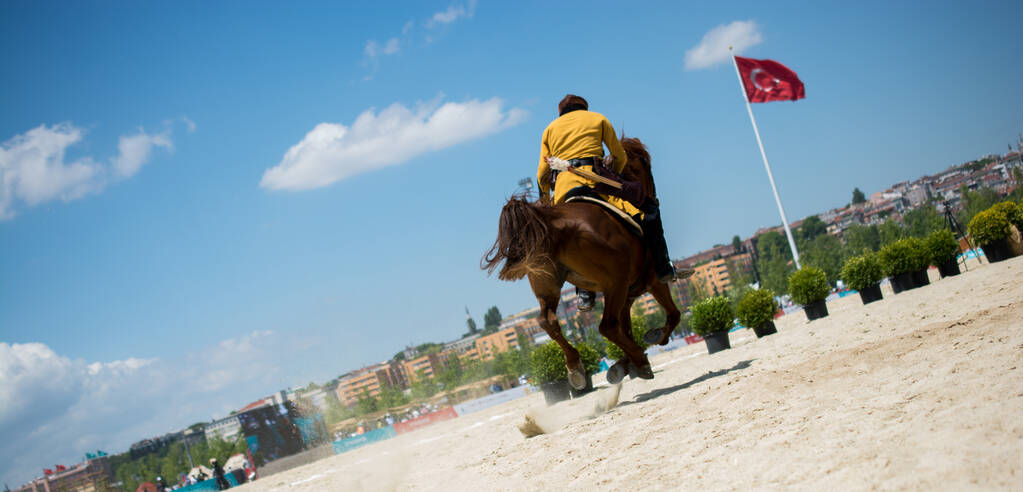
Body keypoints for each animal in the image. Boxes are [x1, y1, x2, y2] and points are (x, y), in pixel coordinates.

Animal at [482, 137, 683, 386]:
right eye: (645, 163)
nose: (652, 198)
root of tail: (553, 225)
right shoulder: (652, 282)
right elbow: (673, 315)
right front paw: (653, 339)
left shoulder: (627, 296)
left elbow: (627, 329)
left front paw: (623, 364)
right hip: (615, 285)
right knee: (607, 326)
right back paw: (641, 361)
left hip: (549, 287)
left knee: (549, 321)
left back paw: (576, 367)